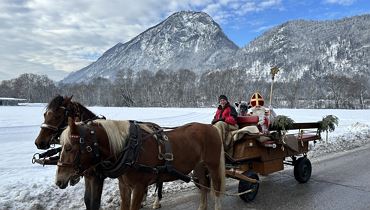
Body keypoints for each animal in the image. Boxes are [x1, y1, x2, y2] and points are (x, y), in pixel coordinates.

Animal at [56, 119, 225, 209]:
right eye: (61, 146)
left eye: (69, 147)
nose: (59, 180)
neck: (130, 148)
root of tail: (211, 127)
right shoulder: (124, 186)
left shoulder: (139, 187)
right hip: (199, 167)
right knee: (204, 186)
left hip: (213, 165)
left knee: (216, 189)